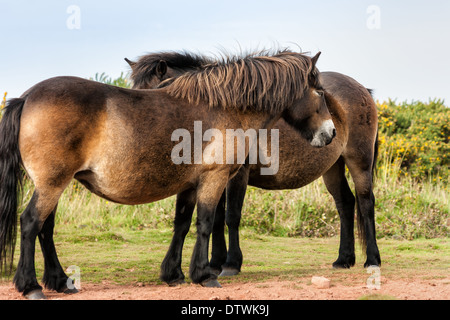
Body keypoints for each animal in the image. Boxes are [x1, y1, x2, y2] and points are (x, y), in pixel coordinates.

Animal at [0, 49, 334, 298]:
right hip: (52, 183)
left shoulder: (189, 184)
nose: (330, 133)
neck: (225, 107)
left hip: (55, 184)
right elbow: (205, 223)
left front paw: (173, 273)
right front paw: (204, 275)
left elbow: (182, 225)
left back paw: (60, 281)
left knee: (45, 229)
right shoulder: (214, 178)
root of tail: (26, 97)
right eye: (319, 91)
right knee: (31, 223)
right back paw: (31, 286)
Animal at [125, 50, 380, 284]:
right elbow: (216, 218)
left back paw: (372, 260)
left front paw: (230, 264)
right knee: (345, 203)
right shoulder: (216, 174)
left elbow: (231, 216)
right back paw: (344, 259)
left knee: (365, 203)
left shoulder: (237, 175)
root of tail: (362, 90)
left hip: (359, 161)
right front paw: (215, 263)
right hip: (333, 167)